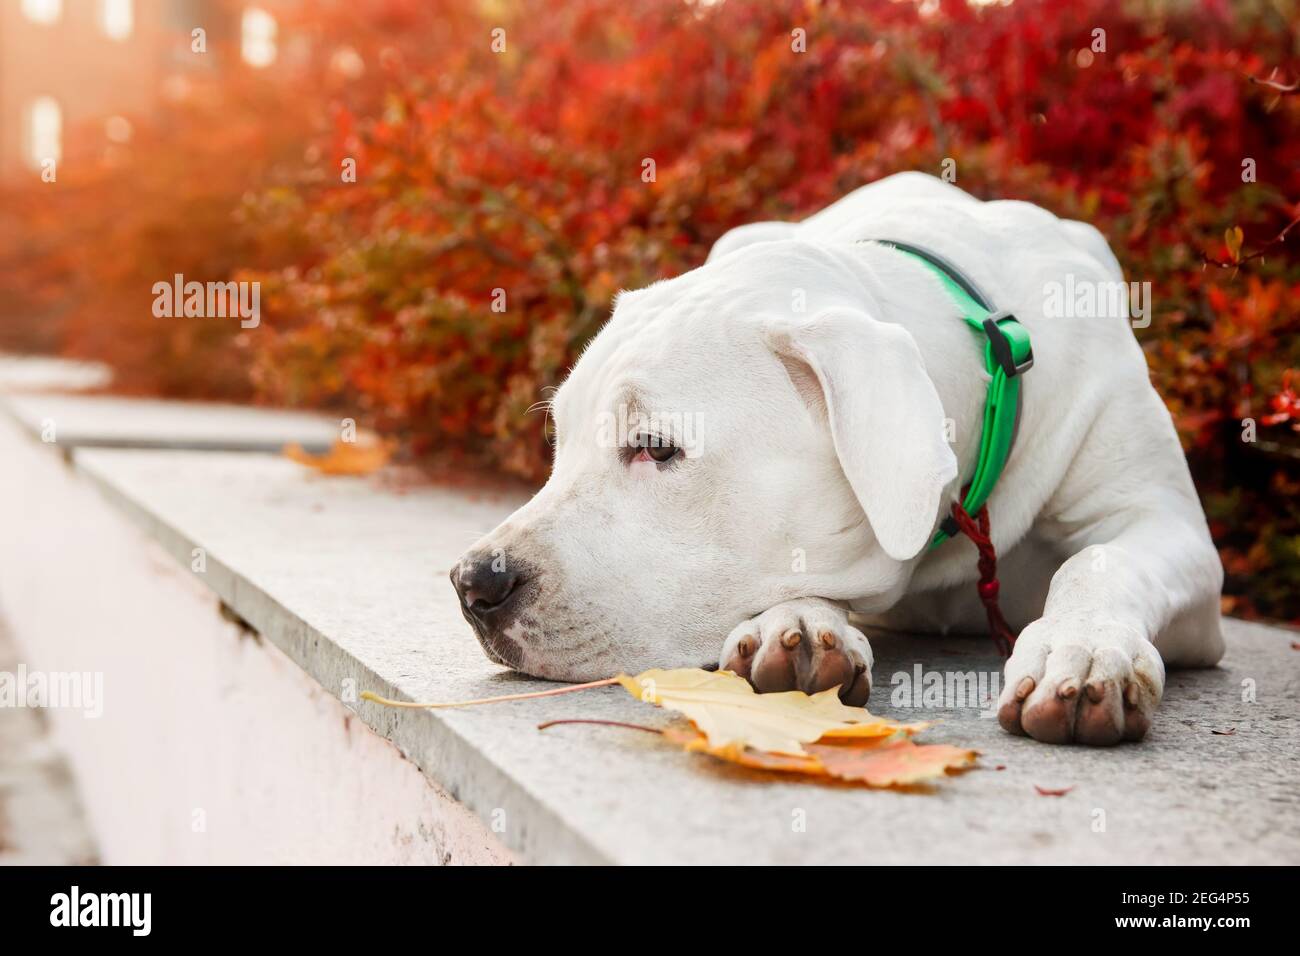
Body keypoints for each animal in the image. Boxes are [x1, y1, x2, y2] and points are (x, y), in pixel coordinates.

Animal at [452, 171, 1222, 749]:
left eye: (655, 448)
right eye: (561, 441)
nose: (472, 583)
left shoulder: (1170, 531)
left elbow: (1099, 559)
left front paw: (1084, 648)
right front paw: (793, 623)